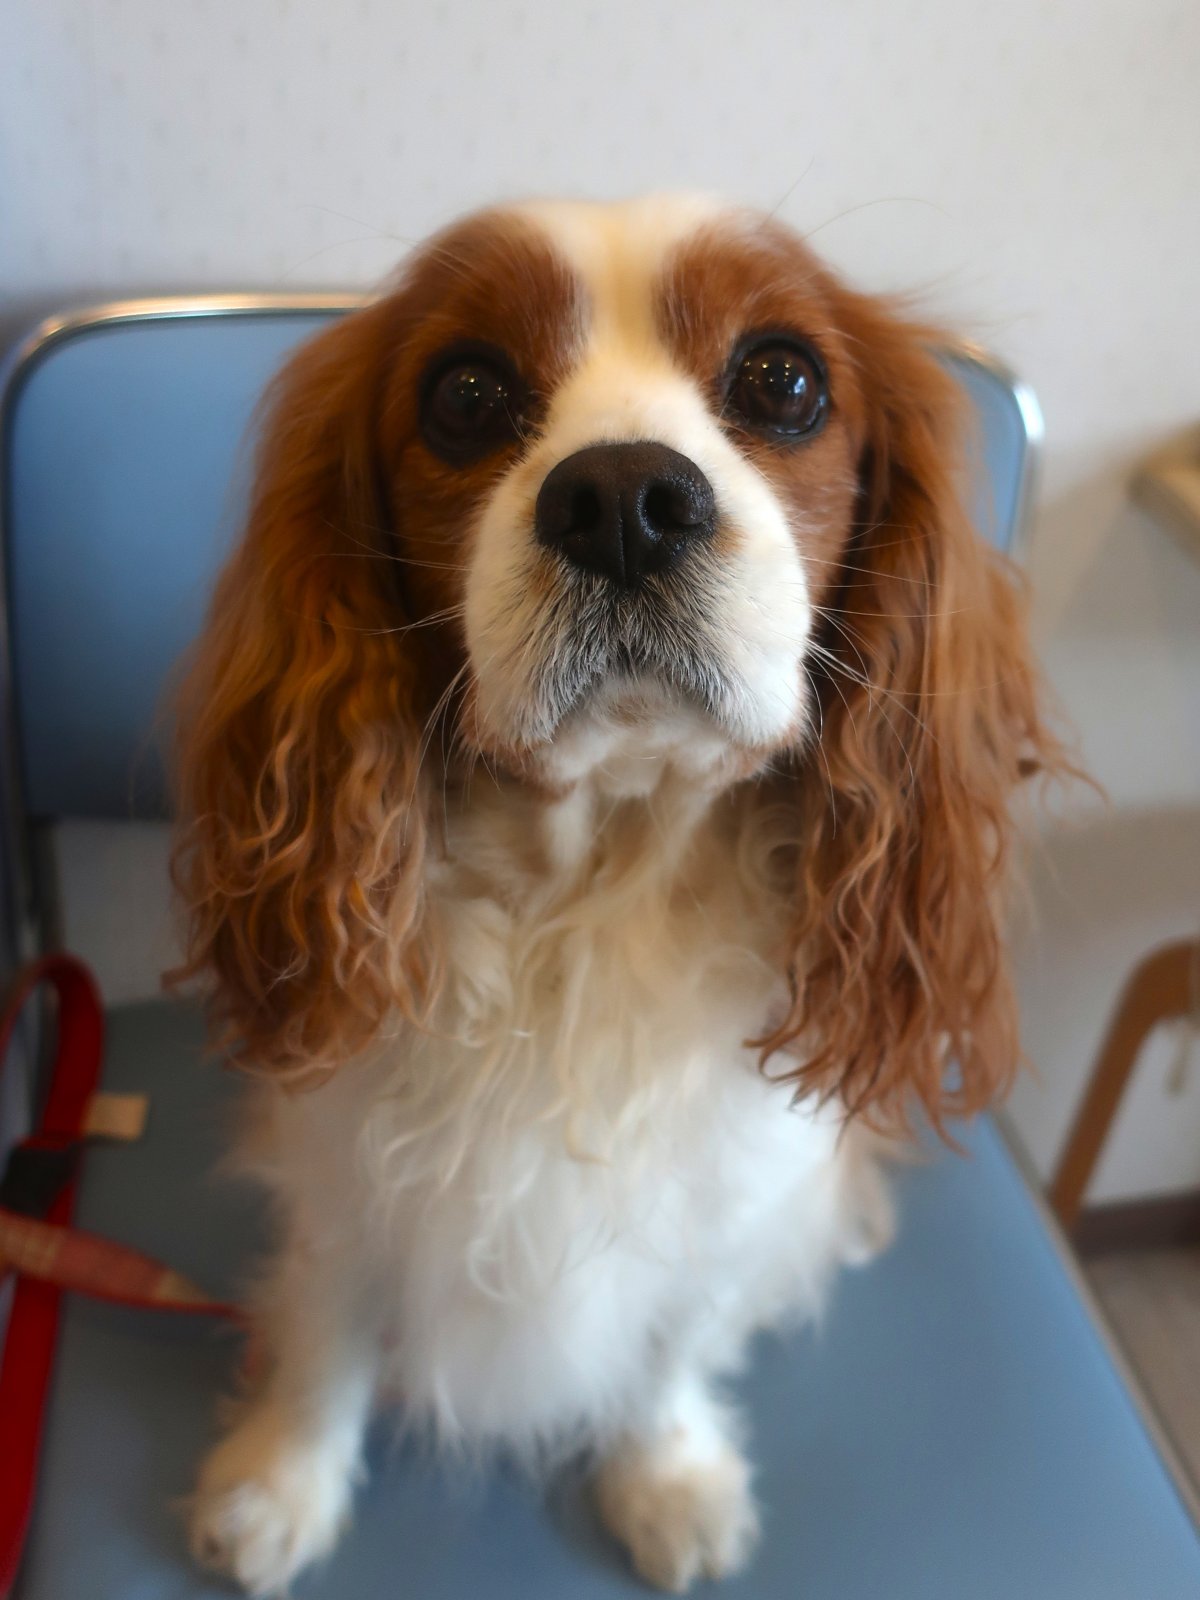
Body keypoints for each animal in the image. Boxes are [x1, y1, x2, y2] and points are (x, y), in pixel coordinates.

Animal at [173, 194, 1061, 1594]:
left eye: (785, 381)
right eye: (466, 394)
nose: (624, 499)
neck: (595, 888)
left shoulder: (720, 1196)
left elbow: (673, 1342)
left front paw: (668, 1473)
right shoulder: (344, 1174)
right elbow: (327, 1330)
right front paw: (280, 1482)